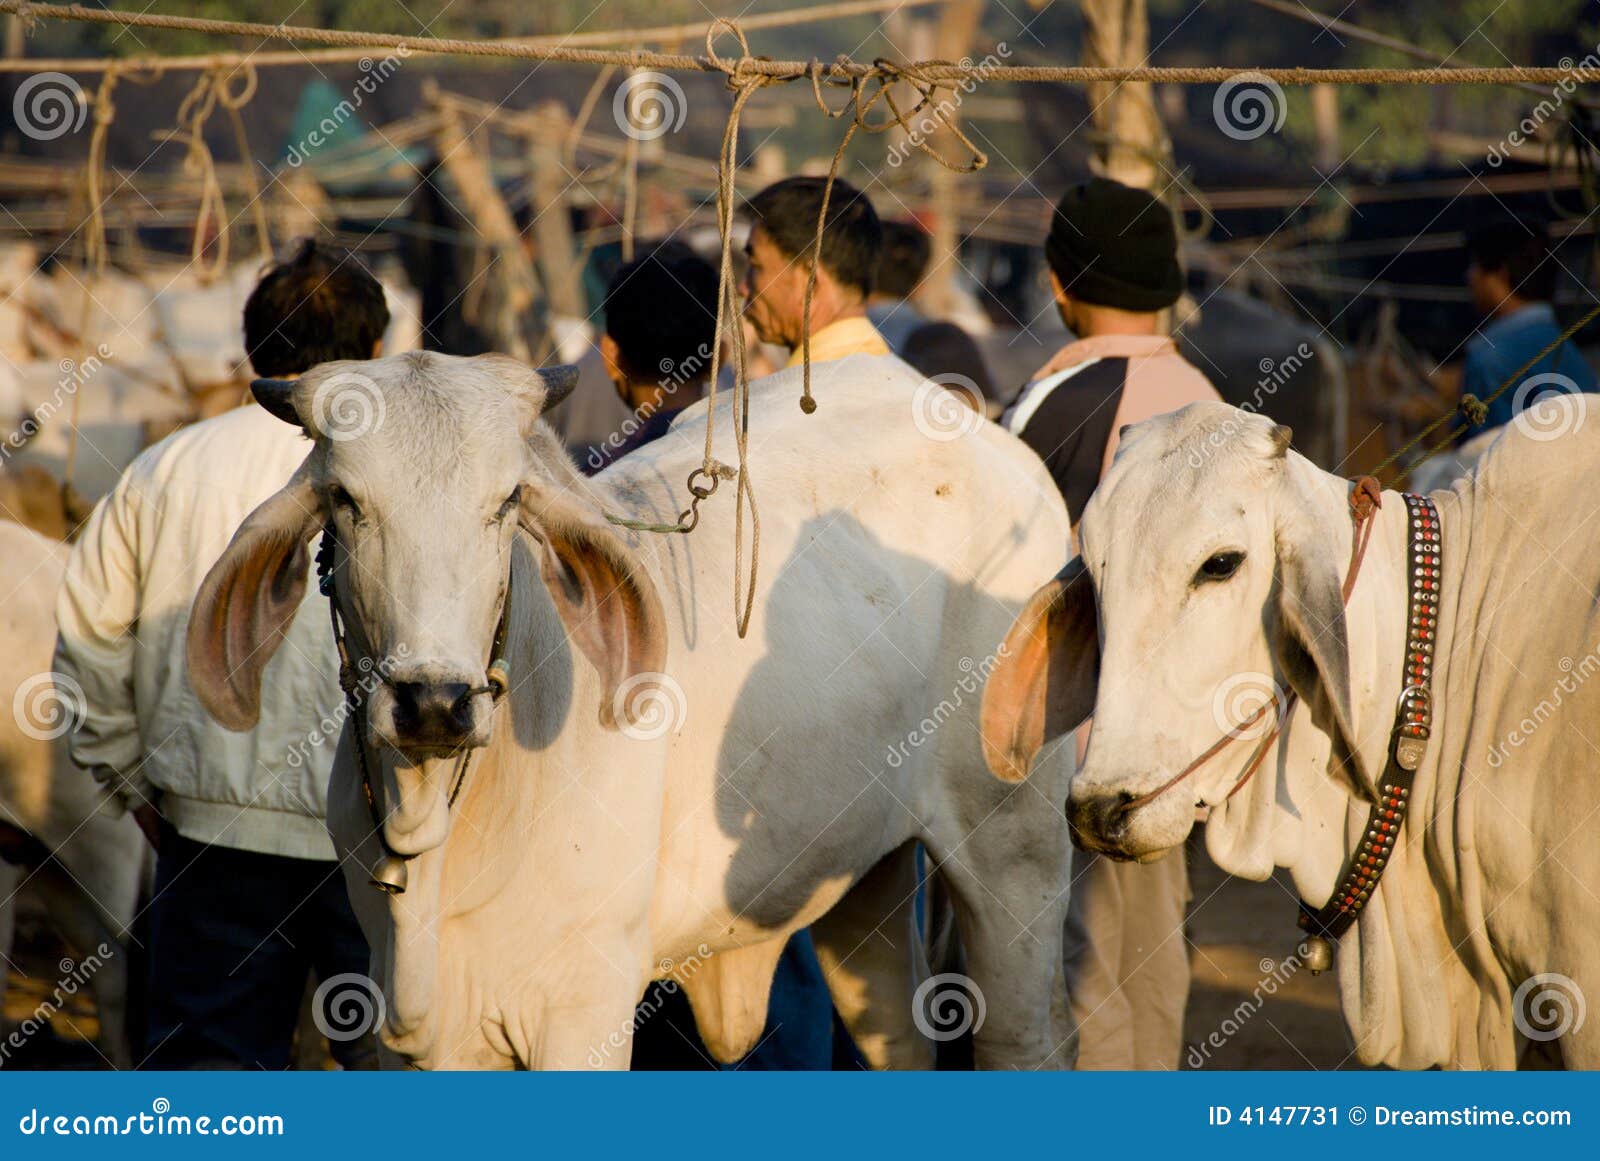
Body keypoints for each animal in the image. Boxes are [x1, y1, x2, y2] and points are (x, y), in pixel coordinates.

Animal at [186, 351, 1077, 1070]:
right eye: (346, 499)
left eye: (506, 501)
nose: (433, 701)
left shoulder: (583, 1010)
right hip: (866, 878)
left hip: (1017, 853)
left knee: (1023, 1034)